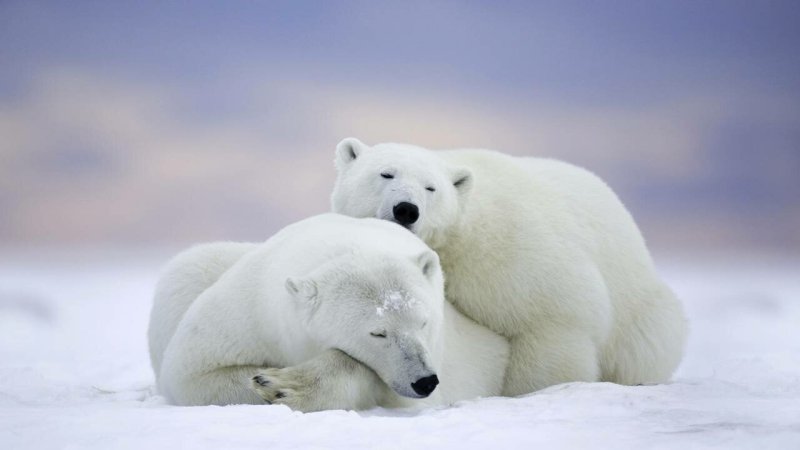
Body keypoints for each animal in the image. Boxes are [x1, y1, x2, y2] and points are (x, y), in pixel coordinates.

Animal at [148, 213, 509, 411]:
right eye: (378, 332)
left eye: (424, 322)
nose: (424, 381)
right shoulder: (251, 311)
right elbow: (192, 373)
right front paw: (267, 381)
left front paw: (283, 385)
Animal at [331, 138, 688, 396]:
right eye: (386, 173)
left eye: (431, 187)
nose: (406, 209)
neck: (461, 235)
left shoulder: (512, 253)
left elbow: (552, 320)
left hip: (640, 312)